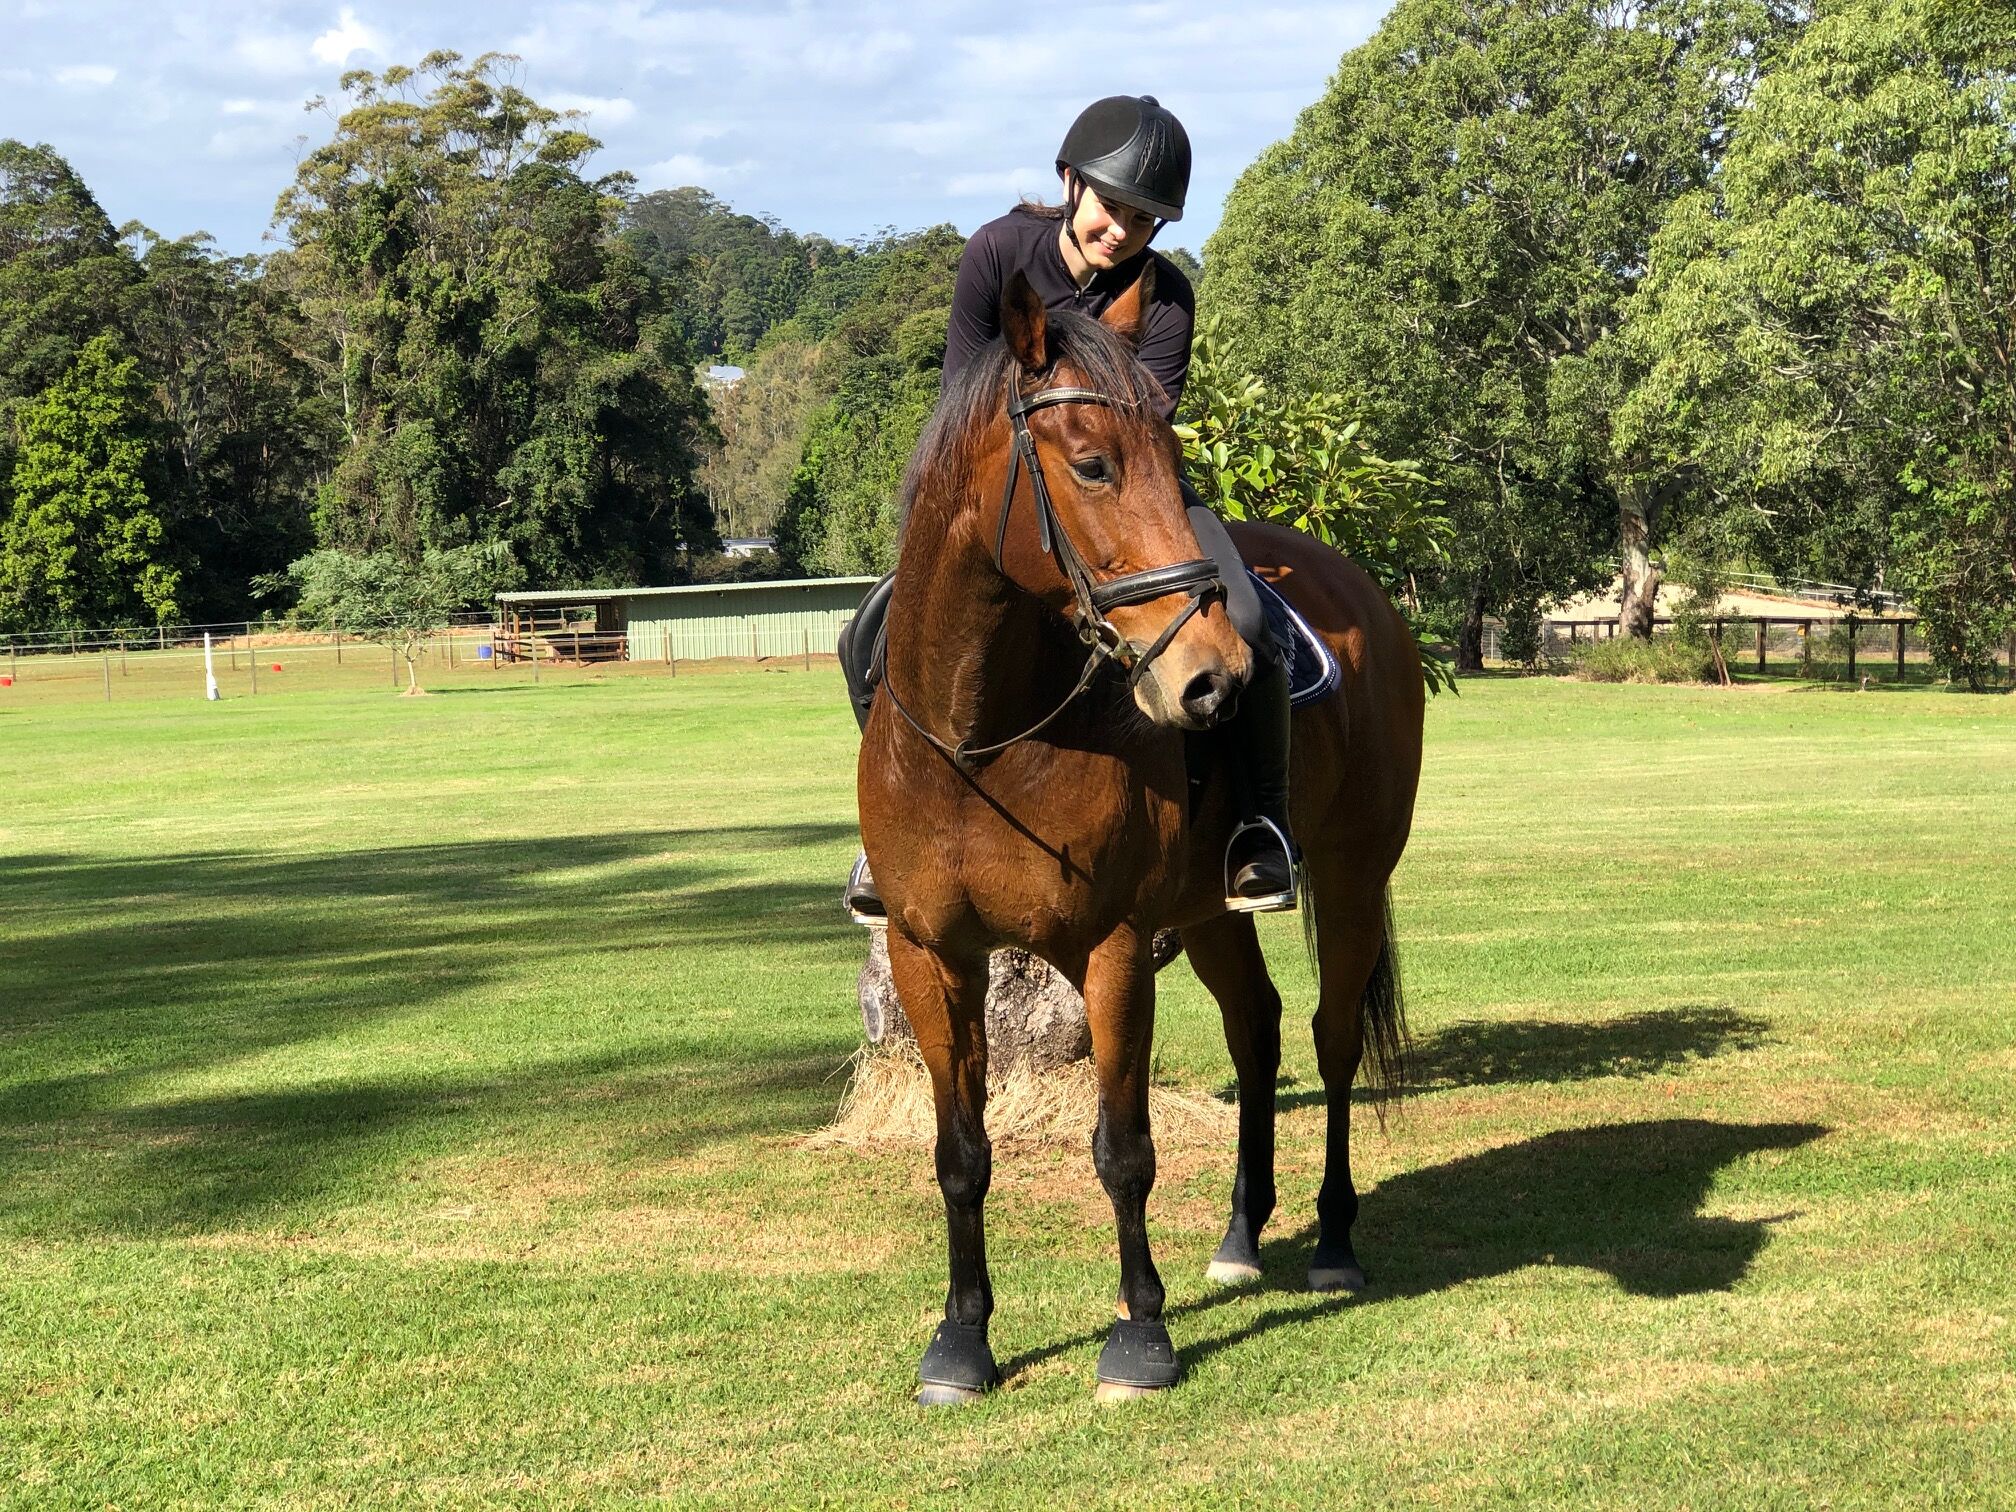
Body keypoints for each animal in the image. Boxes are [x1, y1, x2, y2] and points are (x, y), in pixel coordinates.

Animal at [858, 264, 1427, 1411]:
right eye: (1091, 463)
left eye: (1171, 455)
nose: (1215, 680)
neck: (981, 739)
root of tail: (1369, 599)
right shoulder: (929, 952)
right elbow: (960, 1152)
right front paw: (961, 1341)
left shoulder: (1114, 950)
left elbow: (1123, 1148)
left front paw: (1141, 1337)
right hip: (1210, 911)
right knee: (1257, 1028)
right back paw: (1243, 1235)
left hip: (1350, 879)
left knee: (1330, 1040)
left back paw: (1333, 1241)